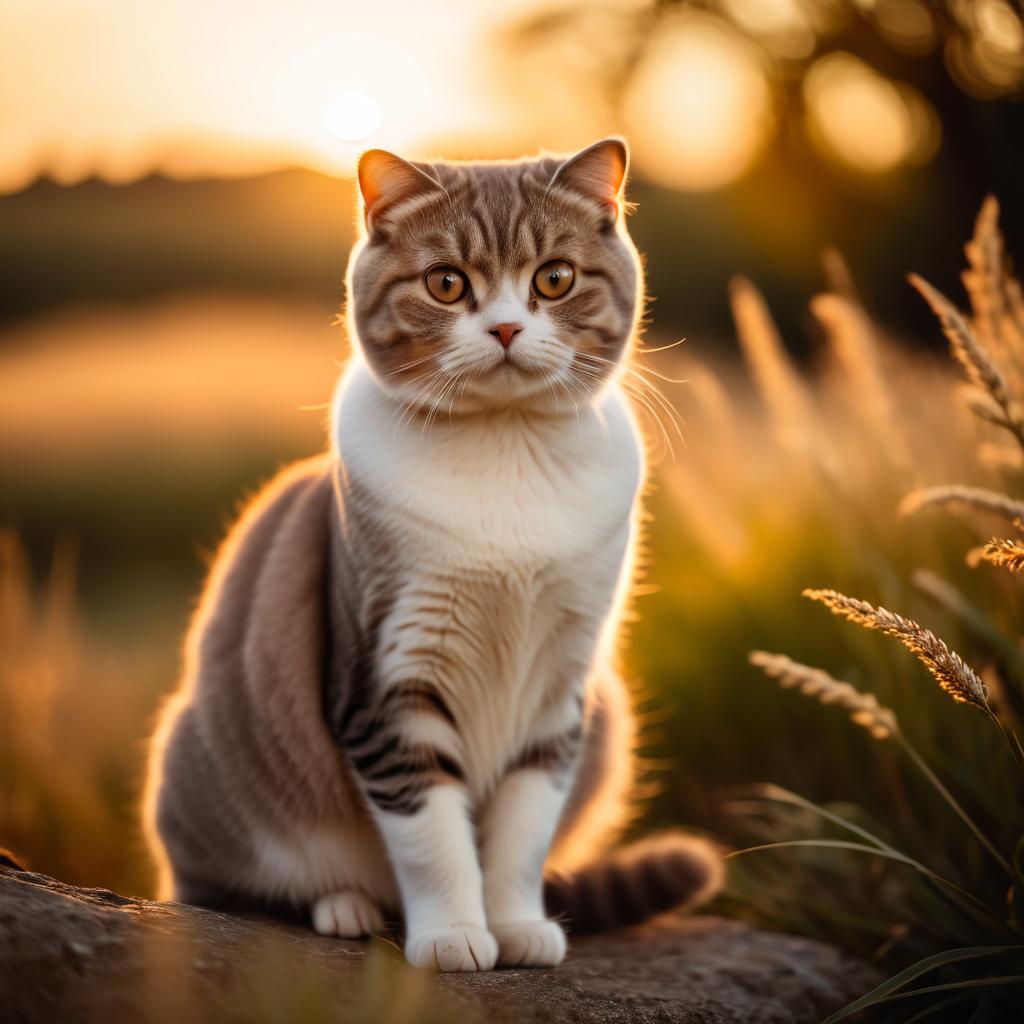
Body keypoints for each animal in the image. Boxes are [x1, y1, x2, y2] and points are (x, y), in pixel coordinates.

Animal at [142, 140, 720, 970]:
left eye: (555, 278)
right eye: (447, 283)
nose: (506, 329)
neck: (506, 445)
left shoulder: (561, 685)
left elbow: (521, 832)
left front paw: (515, 926)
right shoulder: (390, 678)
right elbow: (431, 834)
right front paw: (452, 936)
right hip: (203, 764)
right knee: (234, 889)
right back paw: (345, 907)